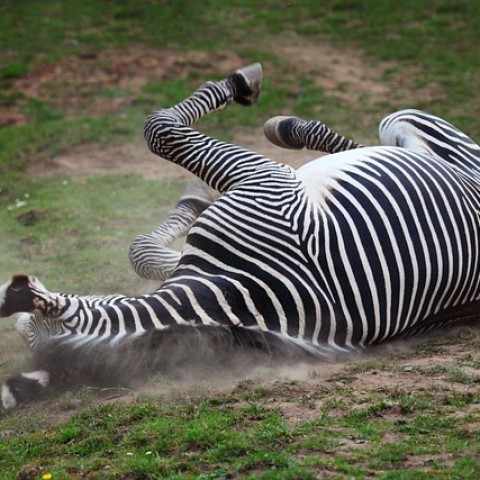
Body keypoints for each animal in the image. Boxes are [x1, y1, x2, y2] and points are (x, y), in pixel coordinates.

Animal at [0, 62, 480, 410]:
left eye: (26, 330)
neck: (229, 297)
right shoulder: (264, 182)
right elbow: (160, 140)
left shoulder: (262, 180)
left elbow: (158, 137)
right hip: (404, 125)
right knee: (380, 142)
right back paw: (287, 125)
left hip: (405, 127)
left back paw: (283, 126)